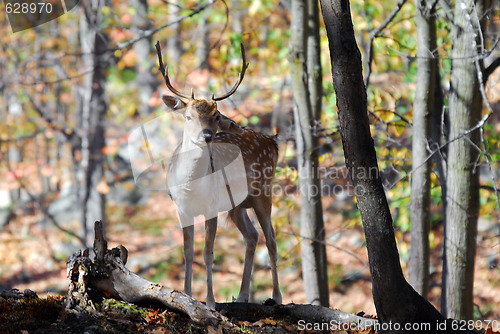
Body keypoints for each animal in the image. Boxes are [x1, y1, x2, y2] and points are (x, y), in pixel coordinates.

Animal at [155, 42, 282, 310]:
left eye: (216, 116)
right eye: (188, 116)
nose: (206, 135)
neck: (190, 186)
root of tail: (273, 142)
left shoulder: (211, 207)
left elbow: (207, 252)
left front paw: (211, 302)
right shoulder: (181, 208)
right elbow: (188, 252)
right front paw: (187, 295)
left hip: (264, 191)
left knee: (271, 239)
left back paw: (276, 297)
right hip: (237, 205)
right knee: (252, 236)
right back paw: (242, 296)